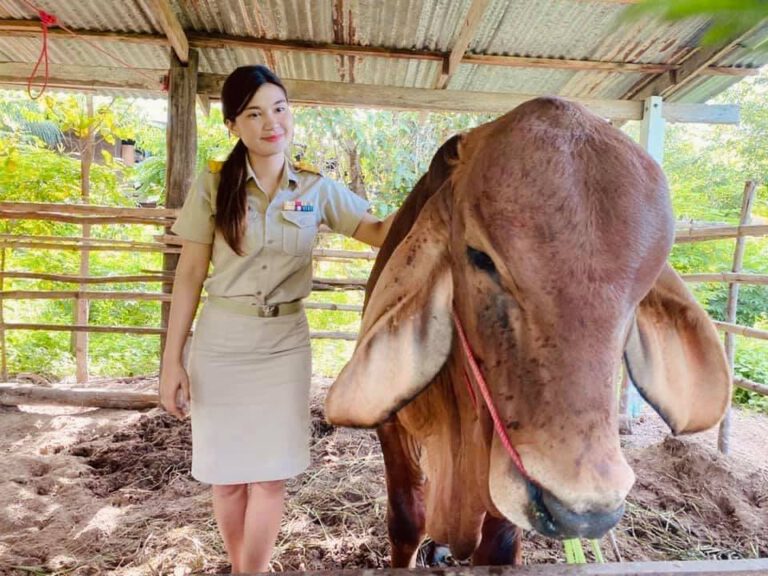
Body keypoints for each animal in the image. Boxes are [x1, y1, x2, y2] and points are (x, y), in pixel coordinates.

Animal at [324, 95, 732, 568]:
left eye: (643, 289)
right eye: (480, 257)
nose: (583, 513)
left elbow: (498, 545)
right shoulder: (391, 430)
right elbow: (407, 520)